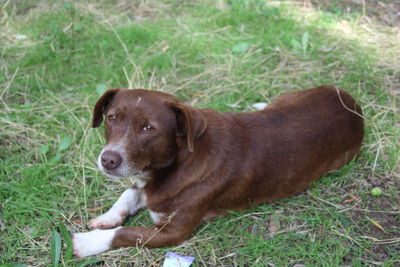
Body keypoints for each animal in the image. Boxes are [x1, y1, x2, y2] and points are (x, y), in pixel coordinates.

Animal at [71, 85, 362, 258]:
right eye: (112, 118)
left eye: (148, 128)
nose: (108, 160)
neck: (176, 163)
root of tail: (351, 102)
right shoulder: (147, 186)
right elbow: (128, 195)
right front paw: (107, 217)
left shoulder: (173, 232)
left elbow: (126, 233)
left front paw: (87, 242)